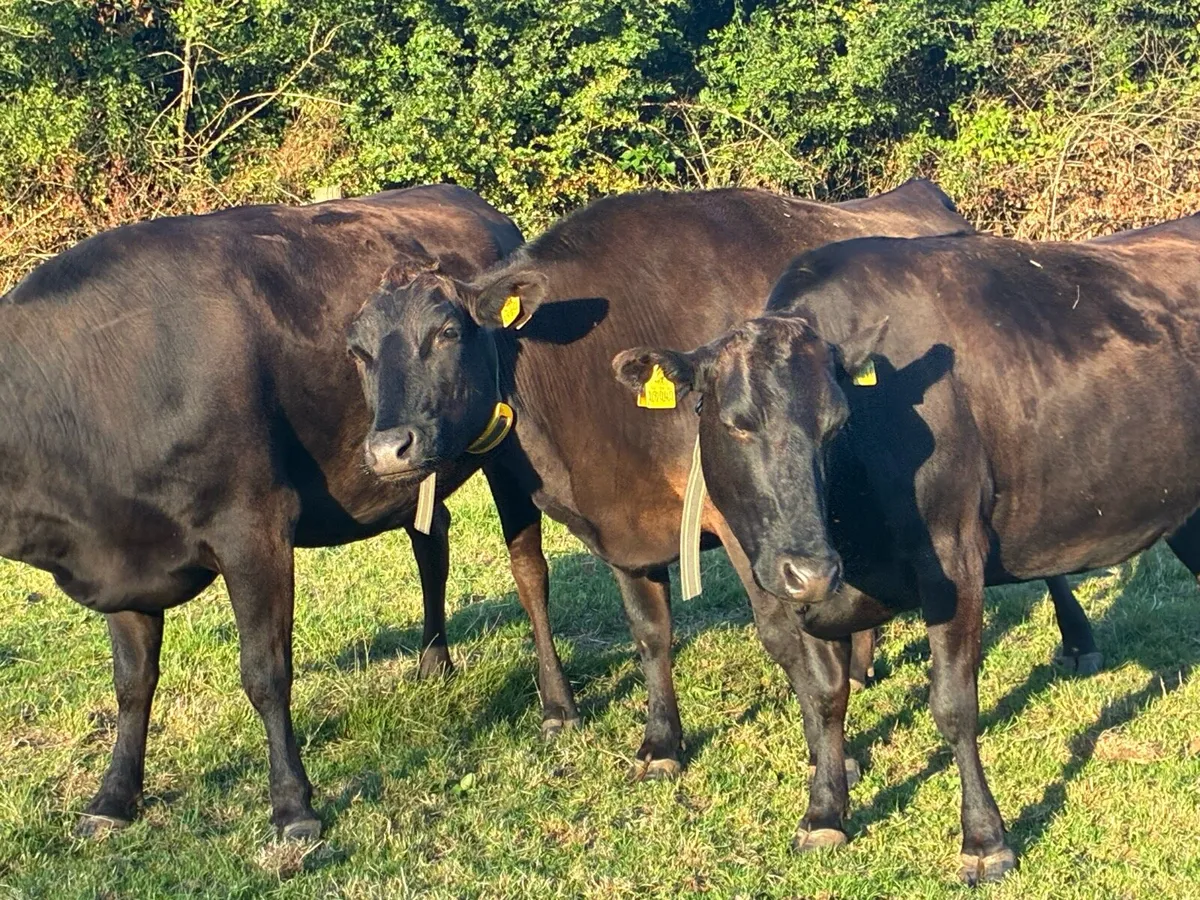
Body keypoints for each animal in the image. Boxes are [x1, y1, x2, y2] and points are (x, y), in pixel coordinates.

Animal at [0, 185, 578, 841]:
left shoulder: (254, 527)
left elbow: (265, 671)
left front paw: (293, 805)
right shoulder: (124, 554)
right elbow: (131, 681)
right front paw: (114, 797)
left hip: (507, 449)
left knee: (529, 572)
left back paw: (557, 703)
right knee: (432, 542)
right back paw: (434, 661)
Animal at [346, 180, 1098, 787]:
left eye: (446, 332)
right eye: (356, 350)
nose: (387, 449)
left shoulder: (747, 521)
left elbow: (782, 636)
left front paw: (832, 761)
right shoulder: (626, 524)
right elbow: (650, 631)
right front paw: (661, 744)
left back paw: (1078, 639)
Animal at [611, 213, 1200, 882]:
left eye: (837, 424)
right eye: (737, 422)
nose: (809, 569)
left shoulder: (954, 560)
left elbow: (953, 704)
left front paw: (985, 840)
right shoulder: (809, 596)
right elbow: (824, 697)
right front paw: (824, 814)